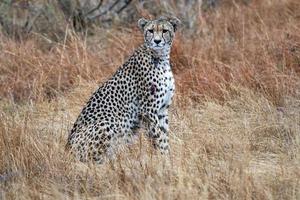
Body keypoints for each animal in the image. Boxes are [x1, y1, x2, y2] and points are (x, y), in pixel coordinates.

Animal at [66, 15, 180, 162]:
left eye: (165, 31)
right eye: (150, 30)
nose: (157, 41)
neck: (160, 57)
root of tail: (67, 149)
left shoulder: (162, 110)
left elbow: (164, 137)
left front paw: (168, 158)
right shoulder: (148, 111)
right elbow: (158, 137)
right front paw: (162, 160)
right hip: (106, 123)